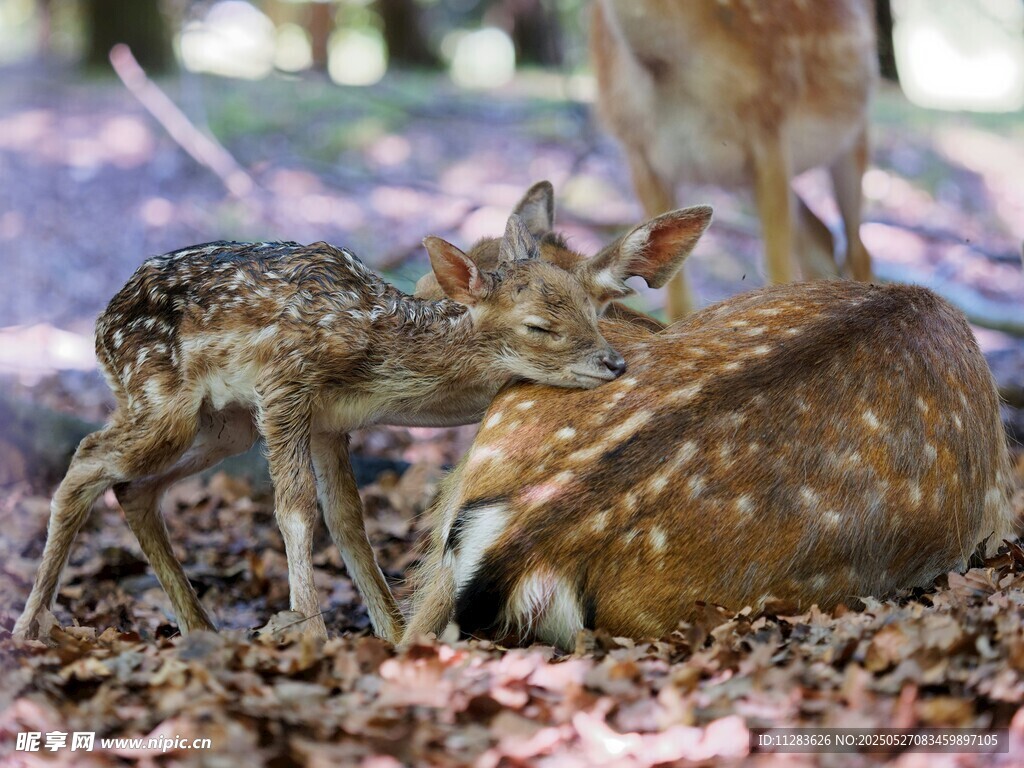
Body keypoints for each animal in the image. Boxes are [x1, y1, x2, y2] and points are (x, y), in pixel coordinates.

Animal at [13, 214, 655, 645]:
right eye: (539, 326)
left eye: (593, 307)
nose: (615, 363)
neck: (378, 355)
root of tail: (99, 326)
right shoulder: (283, 384)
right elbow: (296, 508)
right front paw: (311, 636)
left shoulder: (329, 422)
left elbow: (349, 520)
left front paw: (390, 634)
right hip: (160, 401)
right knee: (87, 457)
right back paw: (28, 625)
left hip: (223, 425)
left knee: (133, 486)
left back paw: (200, 629)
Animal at [591, 0, 878, 319]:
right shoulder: (639, 152)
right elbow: (677, 304)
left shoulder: (771, 126)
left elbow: (778, 272)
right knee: (822, 238)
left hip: (854, 134)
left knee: (859, 249)